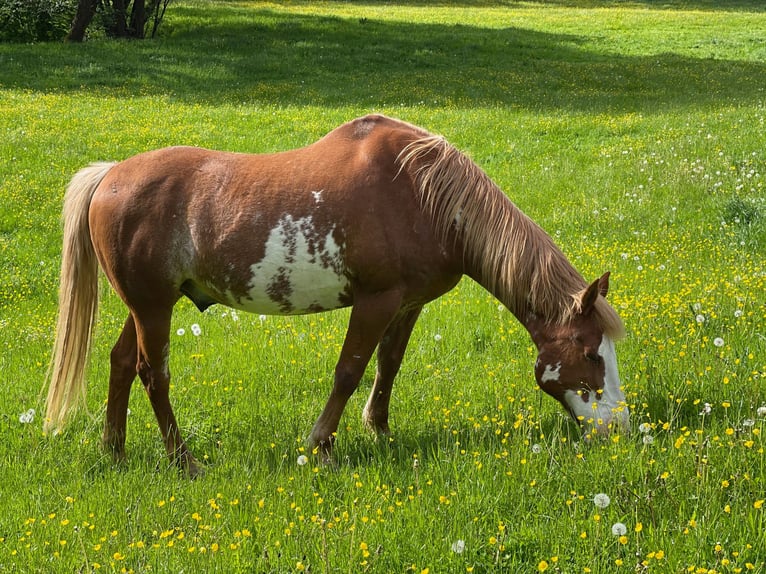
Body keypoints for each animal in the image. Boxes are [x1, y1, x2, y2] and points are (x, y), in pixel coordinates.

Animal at [45, 114, 628, 476]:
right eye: (590, 352)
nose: (619, 427)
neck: (424, 195)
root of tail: (109, 176)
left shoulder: (408, 303)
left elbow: (388, 365)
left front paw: (381, 431)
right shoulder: (376, 301)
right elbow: (349, 371)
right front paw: (321, 446)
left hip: (148, 305)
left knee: (122, 363)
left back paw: (115, 451)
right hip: (154, 308)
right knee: (153, 373)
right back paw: (184, 461)